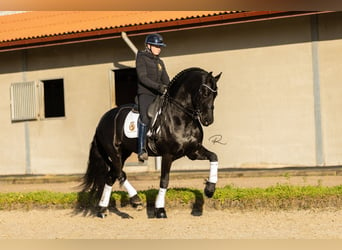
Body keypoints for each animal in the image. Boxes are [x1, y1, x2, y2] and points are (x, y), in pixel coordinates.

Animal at [82, 67, 222, 218]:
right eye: (205, 92)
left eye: (216, 94)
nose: (208, 120)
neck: (182, 117)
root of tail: (102, 120)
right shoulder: (167, 155)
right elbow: (164, 180)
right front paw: (160, 210)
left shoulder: (193, 152)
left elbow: (214, 157)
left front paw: (209, 189)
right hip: (114, 152)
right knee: (119, 173)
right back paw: (135, 200)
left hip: (124, 153)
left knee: (110, 177)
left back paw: (102, 210)